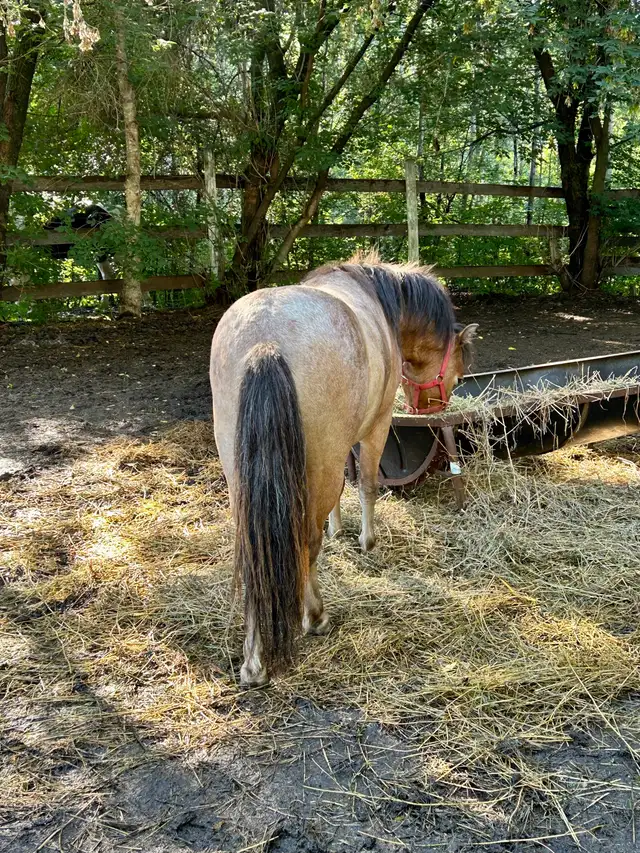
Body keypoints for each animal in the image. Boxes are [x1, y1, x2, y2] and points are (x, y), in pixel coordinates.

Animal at [209, 253, 477, 687]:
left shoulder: (339, 448)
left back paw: (253, 662)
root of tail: (264, 342)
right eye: (459, 369)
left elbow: (342, 489)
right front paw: (368, 541)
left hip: (244, 479)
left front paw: (338, 529)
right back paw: (315, 617)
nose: (435, 408)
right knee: (305, 543)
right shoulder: (375, 427)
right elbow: (366, 483)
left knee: (255, 552)